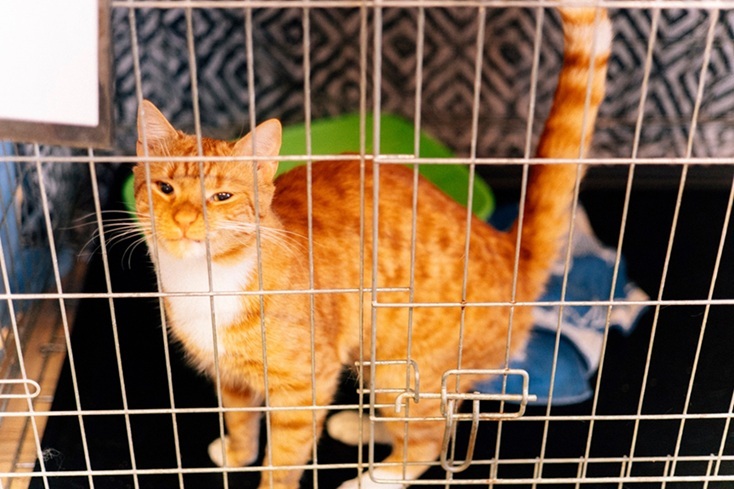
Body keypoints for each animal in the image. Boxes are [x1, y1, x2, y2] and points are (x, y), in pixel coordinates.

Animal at [132, 7, 611, 489]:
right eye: (165, 188)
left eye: (222, 197)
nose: (185, 219)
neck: (205, 283)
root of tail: (511, 250)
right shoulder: (230, 379)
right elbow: (240, 418)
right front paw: (237, 452)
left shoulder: (303, 388)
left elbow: (283, 457)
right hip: (377, 361)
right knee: (424, 414)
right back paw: (360, 426)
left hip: (399, 365)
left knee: (428, 436)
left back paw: (375, 476)